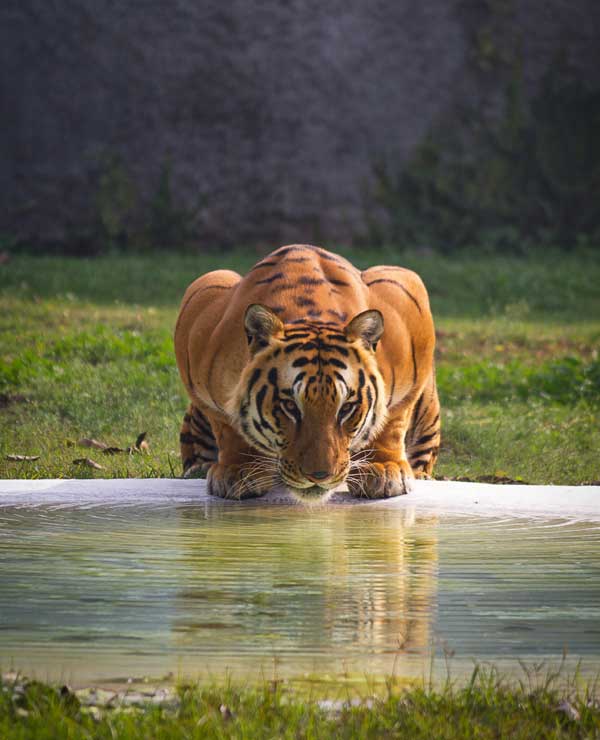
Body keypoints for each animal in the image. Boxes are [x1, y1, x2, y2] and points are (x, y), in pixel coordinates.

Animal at [173, 244, 440, 502]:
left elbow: (392, 419)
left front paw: (384, 469)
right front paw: (238, 471)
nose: (319, 476)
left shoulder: (408, 302)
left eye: (346, 408)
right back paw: (199, 469)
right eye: (290, 406)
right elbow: (227, 425)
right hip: (215, 277)